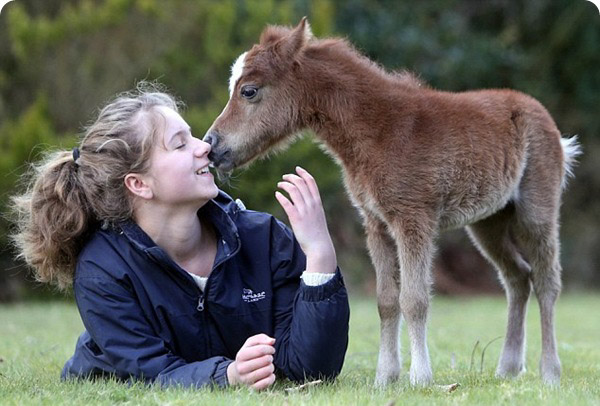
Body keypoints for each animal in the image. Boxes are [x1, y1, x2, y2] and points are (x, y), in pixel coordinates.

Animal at [203, 17, 580, 386]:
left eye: (249, 91)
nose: (211, 145)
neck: (380, 130)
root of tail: (543, 118)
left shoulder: (414, 219)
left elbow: (414, 299)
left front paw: (420, 378)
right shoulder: (376, 223)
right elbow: (386, 301)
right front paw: (385, 377)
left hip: (536, 210)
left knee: (546, 281)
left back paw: (550, 373)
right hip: (489, 222)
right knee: (517, 278)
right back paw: (508, 368)